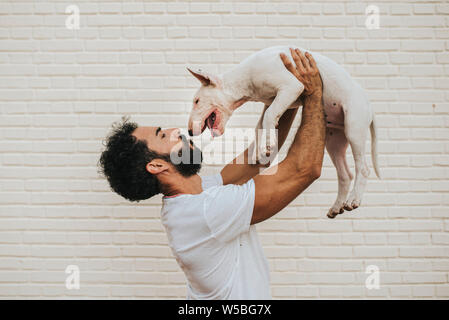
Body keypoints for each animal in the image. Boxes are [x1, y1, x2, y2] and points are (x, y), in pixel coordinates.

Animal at [186, 46, 378, 219]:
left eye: (196, 101)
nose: (189, 131)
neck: (244, 81)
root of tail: (370, 106)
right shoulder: (272, 101)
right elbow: (260, 124)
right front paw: (257, 153)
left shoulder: (292, 87)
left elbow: (269, 116)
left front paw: (267, 145)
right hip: (334, 140)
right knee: (345, 174)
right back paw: (337, 206)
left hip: (353, 126)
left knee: (363, 168)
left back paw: (354, 200)